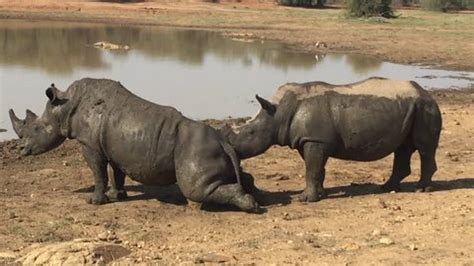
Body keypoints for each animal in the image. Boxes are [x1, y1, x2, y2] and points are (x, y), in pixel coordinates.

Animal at [9, 78, 262, 213]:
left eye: (36, 129)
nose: (21, 150)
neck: (65, 106)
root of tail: (223, 143)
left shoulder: (90, 145)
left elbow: (99, 172)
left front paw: (94, 202)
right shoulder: (116, 146)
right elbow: (116, 172)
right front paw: (118, 195)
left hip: (196, 150)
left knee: (196, 189)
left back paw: (248, 206)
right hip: (215, 149)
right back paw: (253, 195)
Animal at [222, 77, 440, 202]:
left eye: (250, 133)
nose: (229, 144)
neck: (278, 111)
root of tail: (427, 94)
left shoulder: (315, 140)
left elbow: (311, 169)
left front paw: (305, 199)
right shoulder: (311, 140)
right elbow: (318, 169)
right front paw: (321, 195)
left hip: (424, 108)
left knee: (424, 148)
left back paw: (422, 189)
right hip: (412, 108)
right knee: (403, 148)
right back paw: (387, 188)